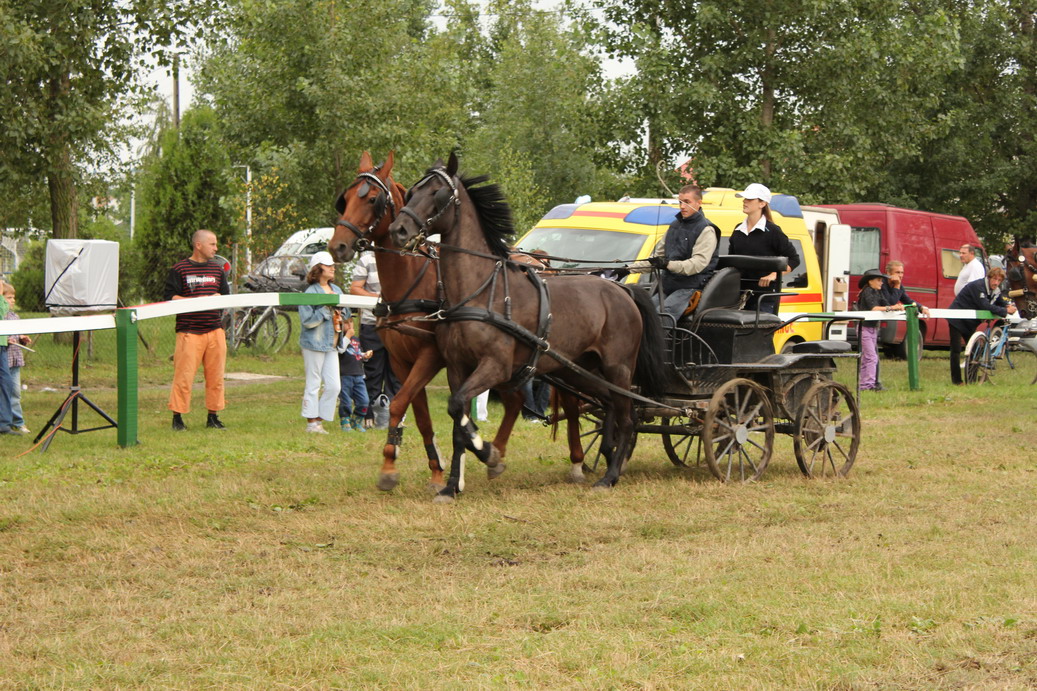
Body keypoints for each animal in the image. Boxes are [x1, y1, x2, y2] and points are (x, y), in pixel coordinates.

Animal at [330, 152, 593, 491]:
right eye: (346, 199)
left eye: (373, 199)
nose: (337, 246)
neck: (412, 283)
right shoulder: (402, 361)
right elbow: (420, 415)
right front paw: (429, 468)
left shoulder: (430, 355)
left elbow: (400, 404)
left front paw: (396, 465)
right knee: (516, 401)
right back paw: (498, 453)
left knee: (570, 404)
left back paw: (575, 460)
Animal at [388, 153, 670, 501]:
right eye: (412, 192)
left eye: (437, 193)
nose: (398, 230)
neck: (482, 291)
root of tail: (620, 290)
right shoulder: (456, 368)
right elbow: (457, 421)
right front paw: (453, 485)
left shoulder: (495, 366)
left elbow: (458, 410)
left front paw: (489, 453)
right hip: (580, 370)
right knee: (610, 406)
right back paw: (608, 454)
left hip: (618, 366)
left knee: (628, 415)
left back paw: (610, 475)